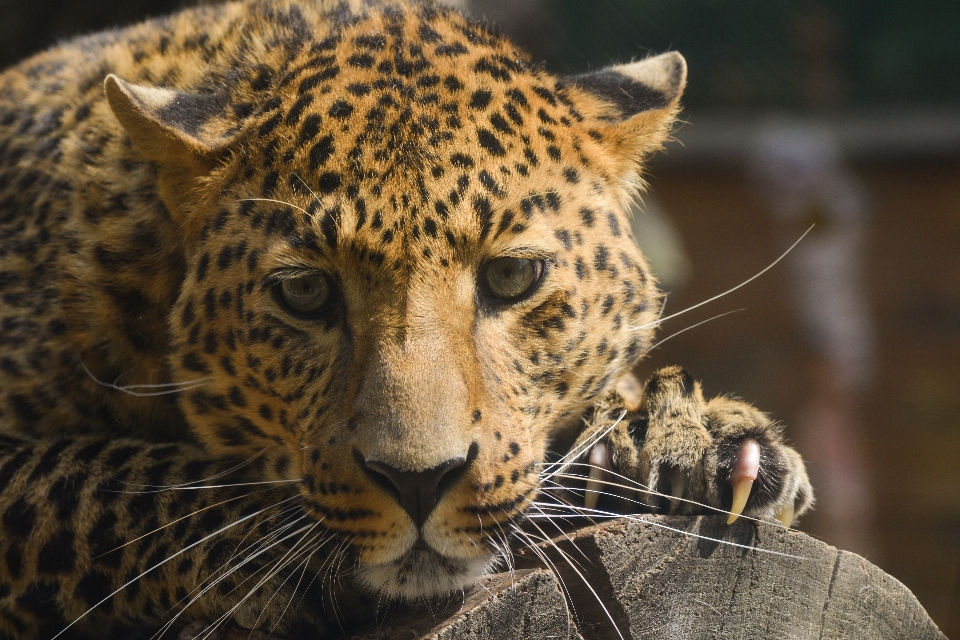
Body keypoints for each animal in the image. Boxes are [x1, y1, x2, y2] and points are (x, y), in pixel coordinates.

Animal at [0, 1, 808, 636]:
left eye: (511, 276)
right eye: (305, 293)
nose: (419, 482)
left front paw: (683, 440)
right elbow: (108, 479)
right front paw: (282, 555)